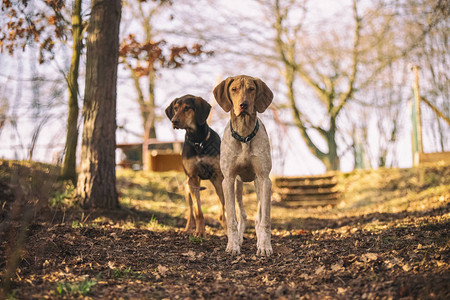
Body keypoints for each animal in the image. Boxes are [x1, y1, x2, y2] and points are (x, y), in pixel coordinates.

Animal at [165, 94, 227, 237]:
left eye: (187, 108)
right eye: (175, 108)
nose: (174, 121)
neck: (198, 141)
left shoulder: (218, 177)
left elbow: (223, 209)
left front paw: (229, 230)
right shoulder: (192, 178)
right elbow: (198, 212)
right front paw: (200, 232)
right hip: (187, 188)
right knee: (191, 211)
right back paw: (188, 229)